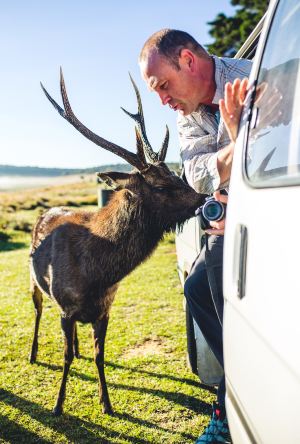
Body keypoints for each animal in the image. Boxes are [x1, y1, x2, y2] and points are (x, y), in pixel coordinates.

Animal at [29, 68, 205, 416]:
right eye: (160, 186)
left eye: (176, 176)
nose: (203, 197)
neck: (97, 274)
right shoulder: (66, 308)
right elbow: (65, 357)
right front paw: (57, 405)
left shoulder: (105, 309)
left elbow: (99, 356)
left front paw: (106, 403)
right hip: (34, 284)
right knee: (39, 312)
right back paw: (33, 354)